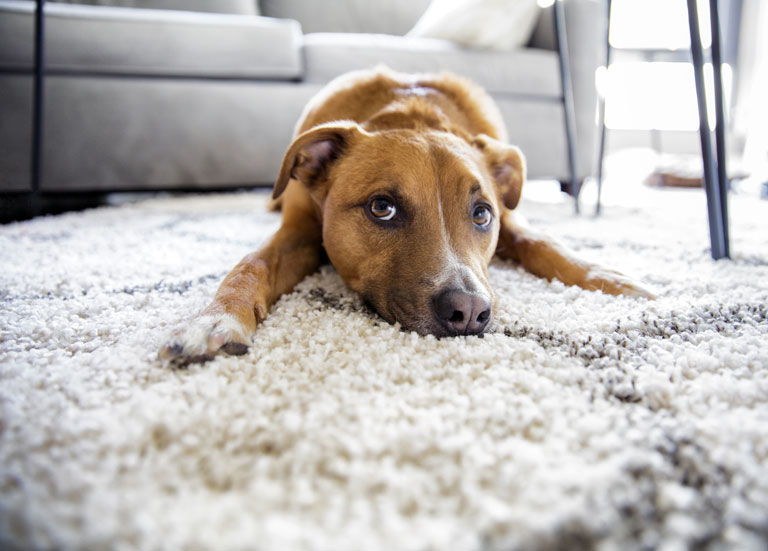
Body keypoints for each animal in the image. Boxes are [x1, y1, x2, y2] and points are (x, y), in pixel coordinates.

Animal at [160, 66, 656, 366]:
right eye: (382, 208)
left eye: (482, 215)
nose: (469, 311)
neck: (412, 116)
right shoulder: (299, 230)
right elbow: (252, 264)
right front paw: (215, 319)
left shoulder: (512, 220)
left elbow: (545, 243)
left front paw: (610, 279)